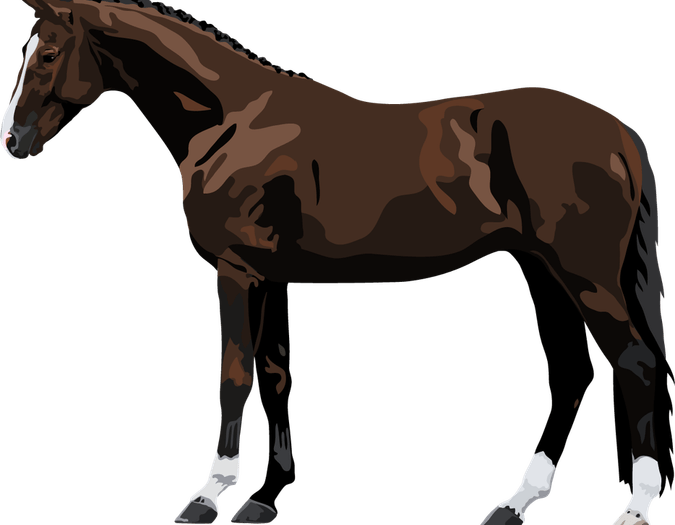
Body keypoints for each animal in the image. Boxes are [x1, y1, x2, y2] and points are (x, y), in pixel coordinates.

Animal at [2, 1, 673, 524]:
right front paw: (265, 497)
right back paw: (516, 503)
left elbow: (234, 375)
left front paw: (208, 496)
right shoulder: (270, 274)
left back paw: (634, 507)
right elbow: (275, 374)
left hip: (583, 274)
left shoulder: (236, 271)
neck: (231, 121)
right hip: (542, 270)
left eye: (49, 54)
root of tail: (618, 132)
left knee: (635, 364)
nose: (12, 140)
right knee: (572, 373)